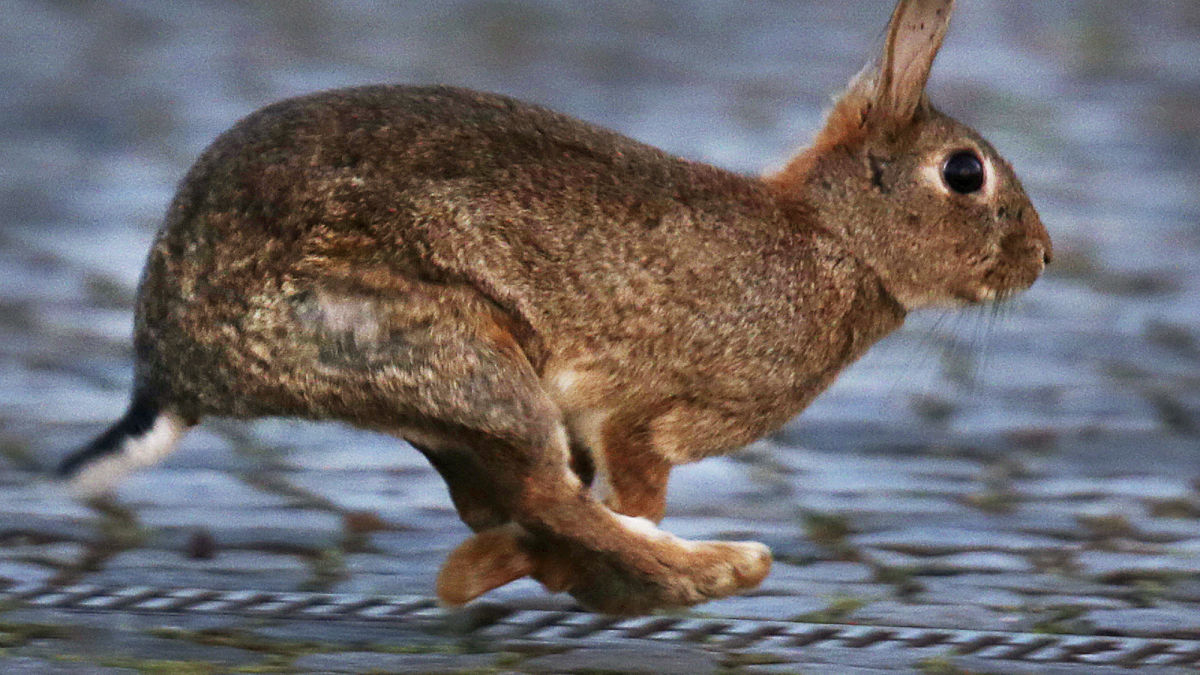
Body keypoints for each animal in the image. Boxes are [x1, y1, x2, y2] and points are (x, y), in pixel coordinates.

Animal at [56, 0, 1051, 612]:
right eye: (965, 174)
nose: (1043, 258)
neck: (837, 240)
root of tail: (171, 365)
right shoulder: (653, 411)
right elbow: (634, 472)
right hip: (451, 345)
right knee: (547, 492)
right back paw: (713, 566)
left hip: (439, 387)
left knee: (503, 498)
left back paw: (505, 576)